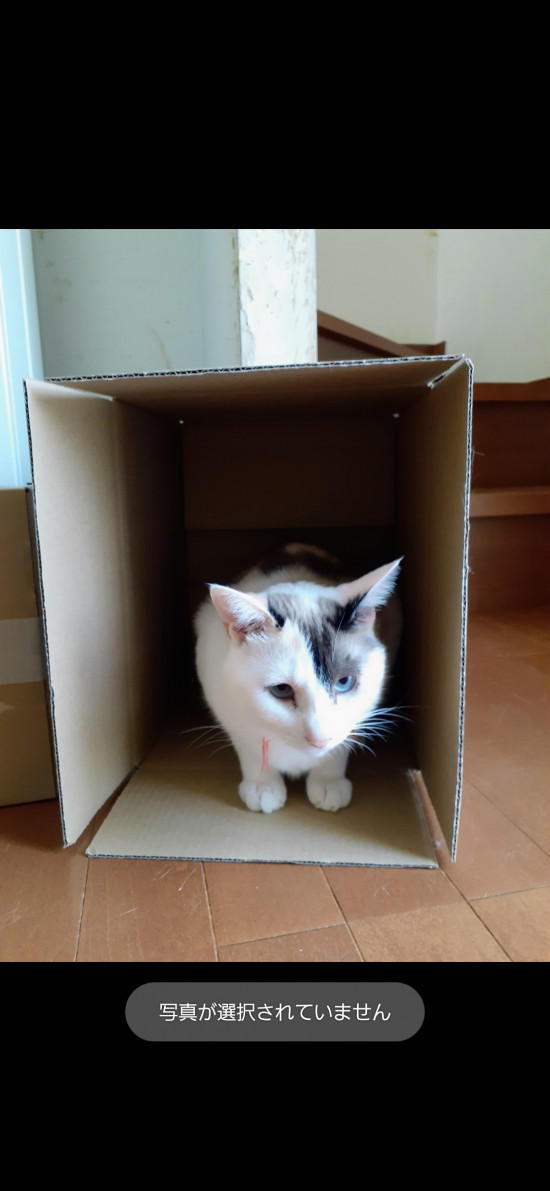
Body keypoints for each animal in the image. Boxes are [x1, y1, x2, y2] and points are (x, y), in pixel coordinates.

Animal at [194, 543, 403, 814]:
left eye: (344, 682)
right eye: (281, 689)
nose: (320, 738)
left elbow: (341, 742)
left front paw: (328, 782)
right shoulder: (223, 701)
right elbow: (249, 746)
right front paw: (262, 786)